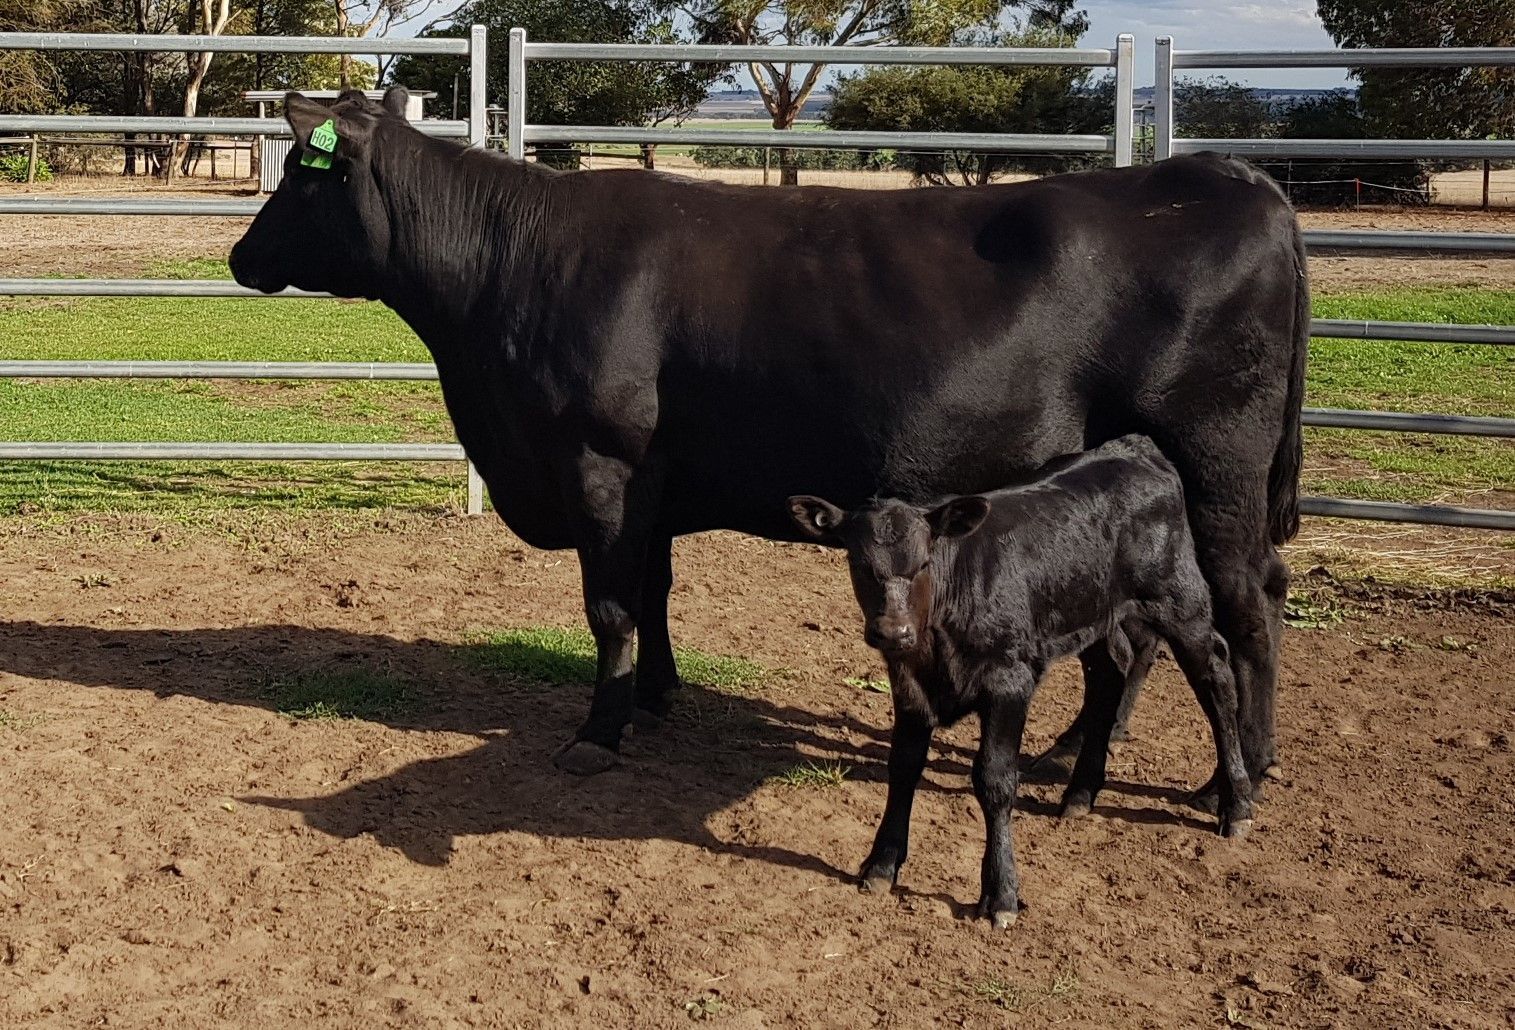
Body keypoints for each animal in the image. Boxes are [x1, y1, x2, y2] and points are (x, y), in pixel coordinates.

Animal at [228, 87, 1307, 795]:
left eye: (299, 178)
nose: (238, 256)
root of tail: (1227, 173)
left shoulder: (600, 466)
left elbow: (609, 606)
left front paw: (600, 731)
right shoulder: (652, 484)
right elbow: (654, 592)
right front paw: (657, 696)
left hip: (1218, 461)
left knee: (1247, 599)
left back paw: (1243, 770)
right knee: (1142, 626)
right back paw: (1076, 753)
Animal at [787, 434, 1255, 928]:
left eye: (924, 563)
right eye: (859, 563)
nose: (894, 632)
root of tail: (1136, 448)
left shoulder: (1009, 682)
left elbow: (994, 780)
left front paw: (1001, 892)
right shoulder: (910, 686)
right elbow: (903, 767)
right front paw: (881, 863)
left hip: (1181, 601)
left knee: (1215, 680)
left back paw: (1235, 803)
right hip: (1093, 613)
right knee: (1111, 673)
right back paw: (1081, 792)